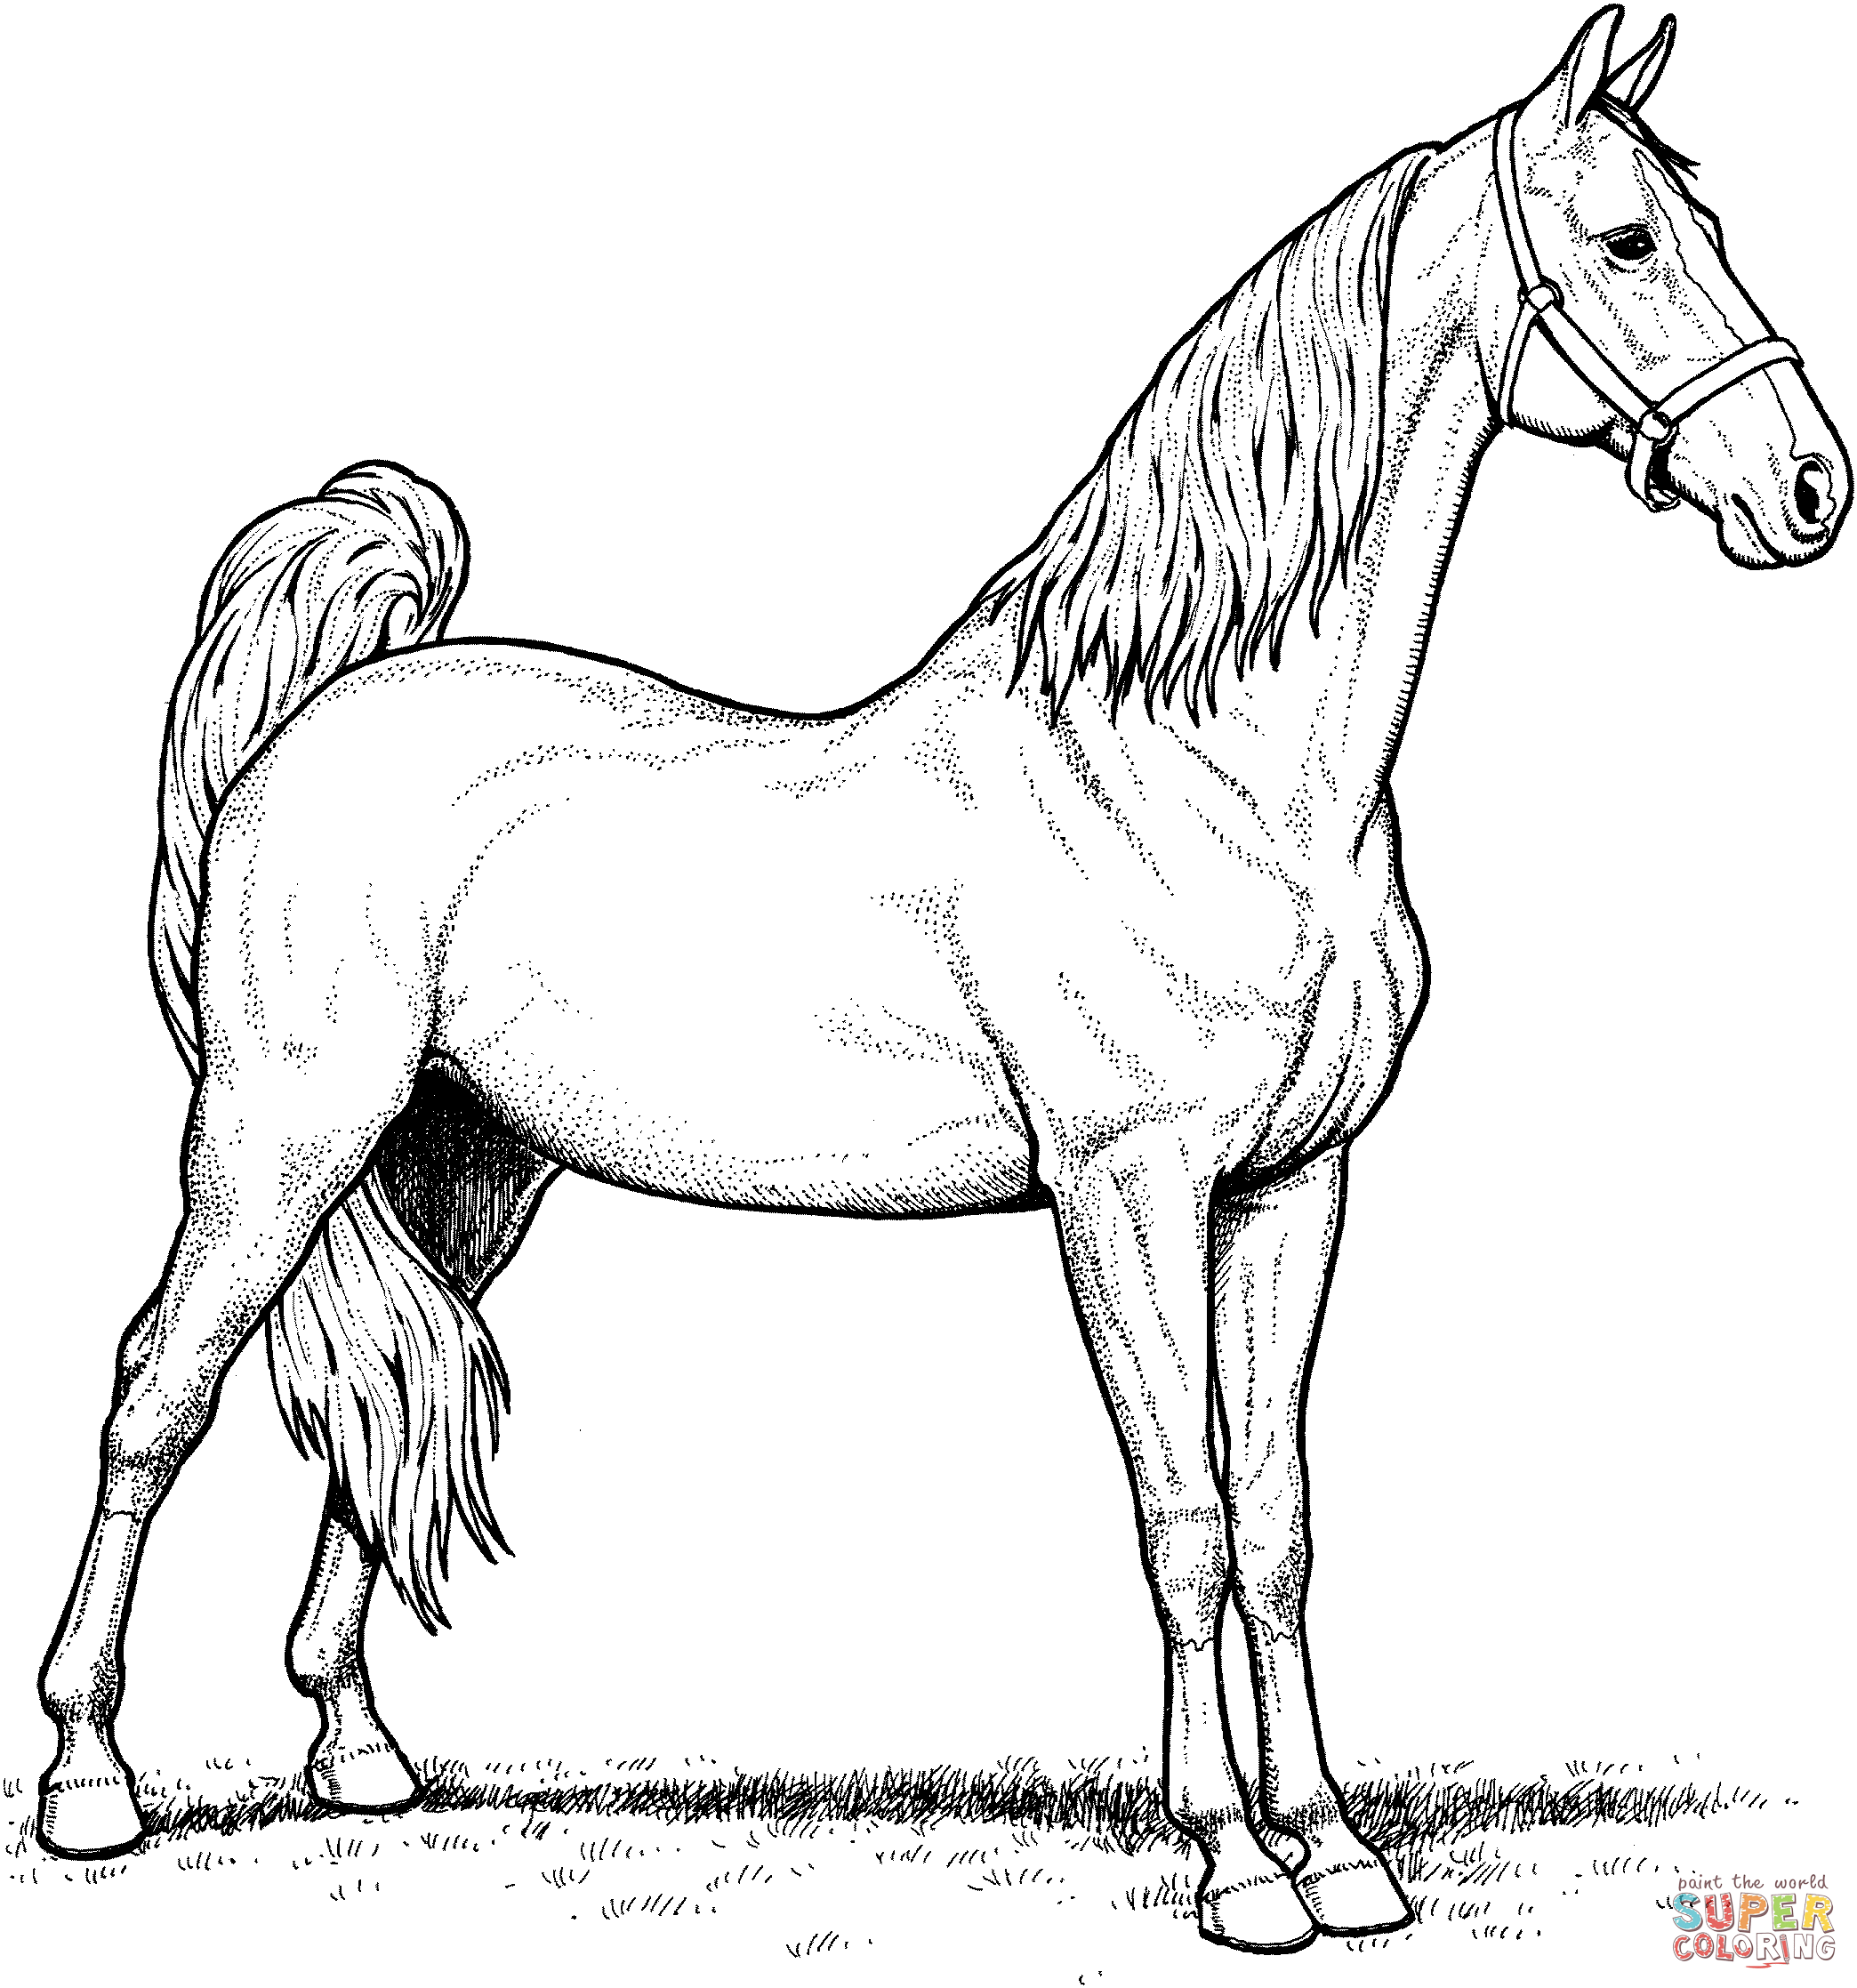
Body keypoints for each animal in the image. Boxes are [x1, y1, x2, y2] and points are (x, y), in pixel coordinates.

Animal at [36, 5, 1846, 1954]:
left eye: (1700, 222)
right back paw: (88, 1781)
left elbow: (1277, 1517)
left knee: (388, 1382)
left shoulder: (1292, 1188)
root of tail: (317, 719)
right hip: (280, 1137)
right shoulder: (1126, 1190)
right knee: (157, 1391)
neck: (1204, 766)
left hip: (459, 1163)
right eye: (1631, 242)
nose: (1808, 487)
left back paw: (359, 1756)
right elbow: (1183, 1514)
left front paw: (1341, 1853)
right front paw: (1236, 1866)